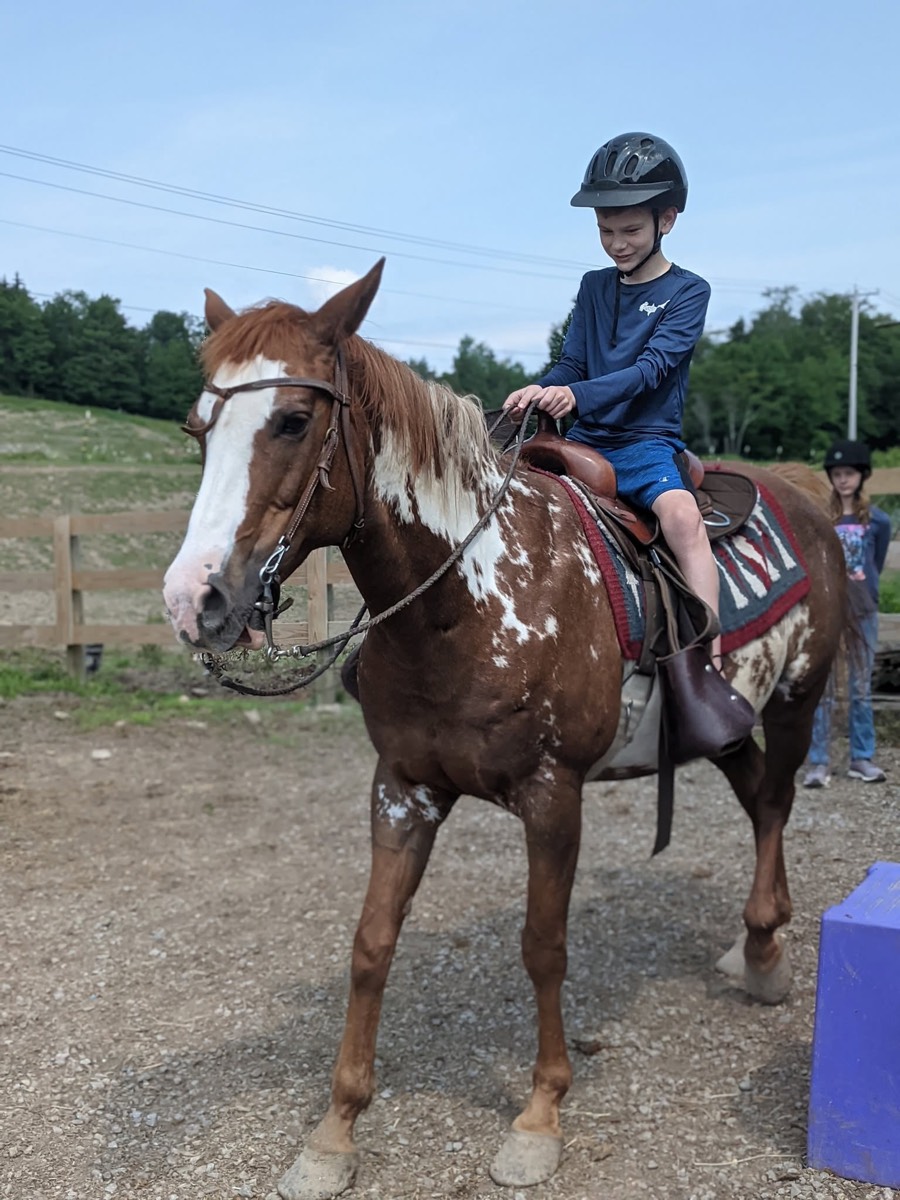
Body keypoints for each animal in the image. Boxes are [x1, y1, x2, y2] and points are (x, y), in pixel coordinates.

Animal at [163, 260, 847, 1200]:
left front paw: (539, 1116)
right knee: (755, 800)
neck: (470, 599)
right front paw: (333, 1133)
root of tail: (804, 495)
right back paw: (752, 947)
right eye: (199, 427)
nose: (195, 598)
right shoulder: (403, 787)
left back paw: (767, 957)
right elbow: (371, 944)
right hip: (726, 725)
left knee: (776, 804)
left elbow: (542, 946)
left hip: (796, 700)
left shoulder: (552, 795)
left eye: (294, 420)